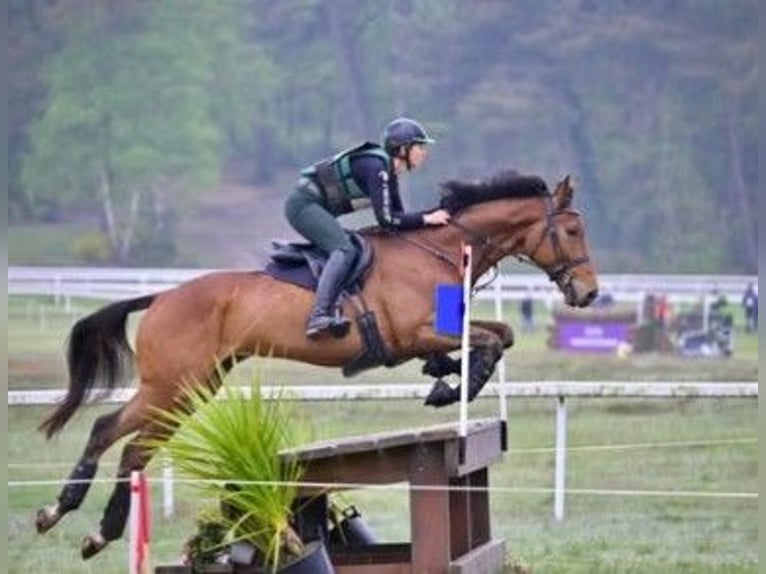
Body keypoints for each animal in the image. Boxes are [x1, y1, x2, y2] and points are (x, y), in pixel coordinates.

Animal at [35, 170, 599, 558]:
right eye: (573, 230)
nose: (589, 293)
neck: (435, 251)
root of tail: (161, 297)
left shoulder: (434, 332)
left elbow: (498, 336)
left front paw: (446, 381)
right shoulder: (413, 333)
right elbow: (490, 341)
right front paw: (451, 387)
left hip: (196, 386)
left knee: (123, 442)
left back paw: (80, 525)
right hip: (173, 383)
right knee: (118, 437)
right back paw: (77, 521)